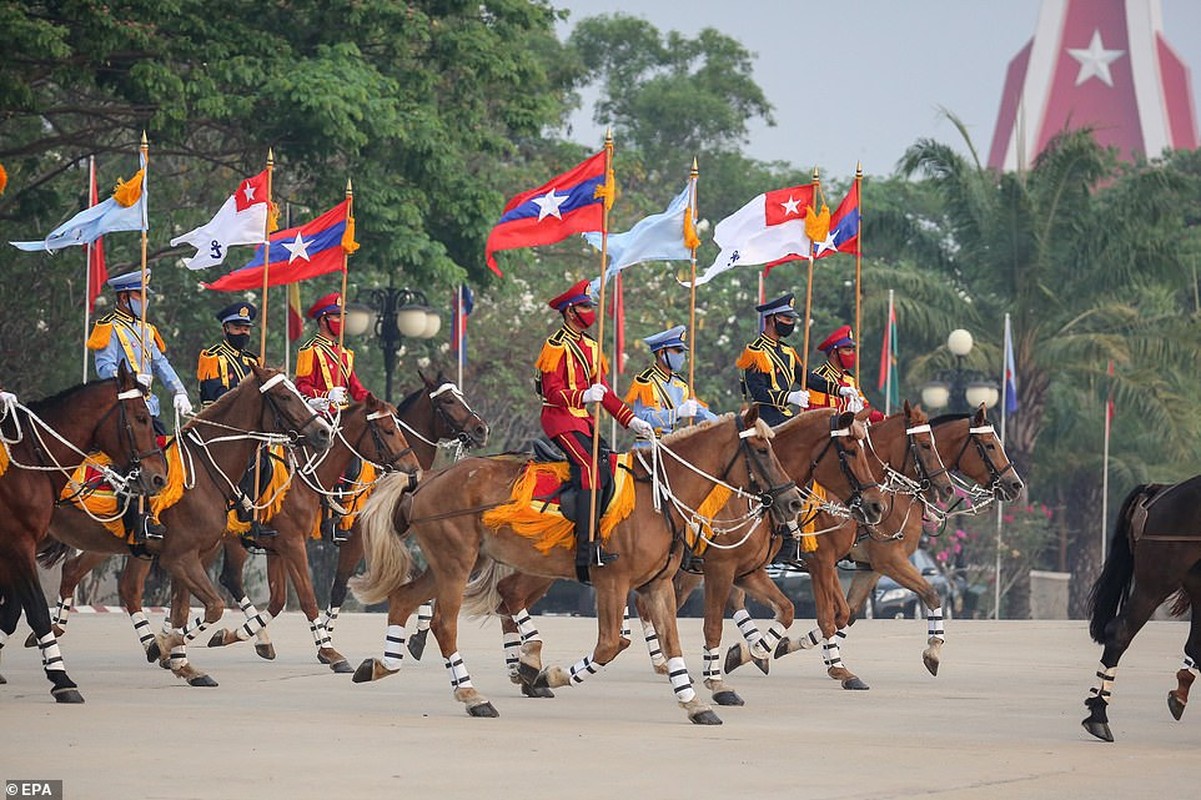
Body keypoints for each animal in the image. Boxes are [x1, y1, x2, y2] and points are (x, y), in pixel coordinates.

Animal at [0, 365, 169, 701]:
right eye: (141, 417)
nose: (158, 477)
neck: (30, 460)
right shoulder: (17, 543)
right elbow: (35, 608)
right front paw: (61, 679)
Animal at [39, 367, 331, 687]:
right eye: (284, 396)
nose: (323, 432)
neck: (206, 471)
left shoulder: (195, 555)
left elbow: (186, 610)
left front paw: (181, 661)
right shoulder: (184, 558)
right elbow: (219, 606)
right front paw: (164, 648)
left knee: (93, 577)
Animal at [206, 391, 427, 667]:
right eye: (388, 430)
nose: (414, 471)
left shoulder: (279, 547)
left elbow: (280, 600)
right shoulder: (310, 543)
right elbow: (317, 594)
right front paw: (327, 647)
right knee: (222, 577)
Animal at [350, 408, 807, 720]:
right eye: (762, 449)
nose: (792, 502)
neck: (661, 495)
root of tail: (425, 480)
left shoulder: (659, 584)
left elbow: (674, 641)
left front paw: (695, 703)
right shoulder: (617, 583)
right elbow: (610, 644)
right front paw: (549, 675)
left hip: (458, 562)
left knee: (405, 598)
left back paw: (381, 665)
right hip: (457, 564)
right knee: (447, 622)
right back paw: (473, 694)